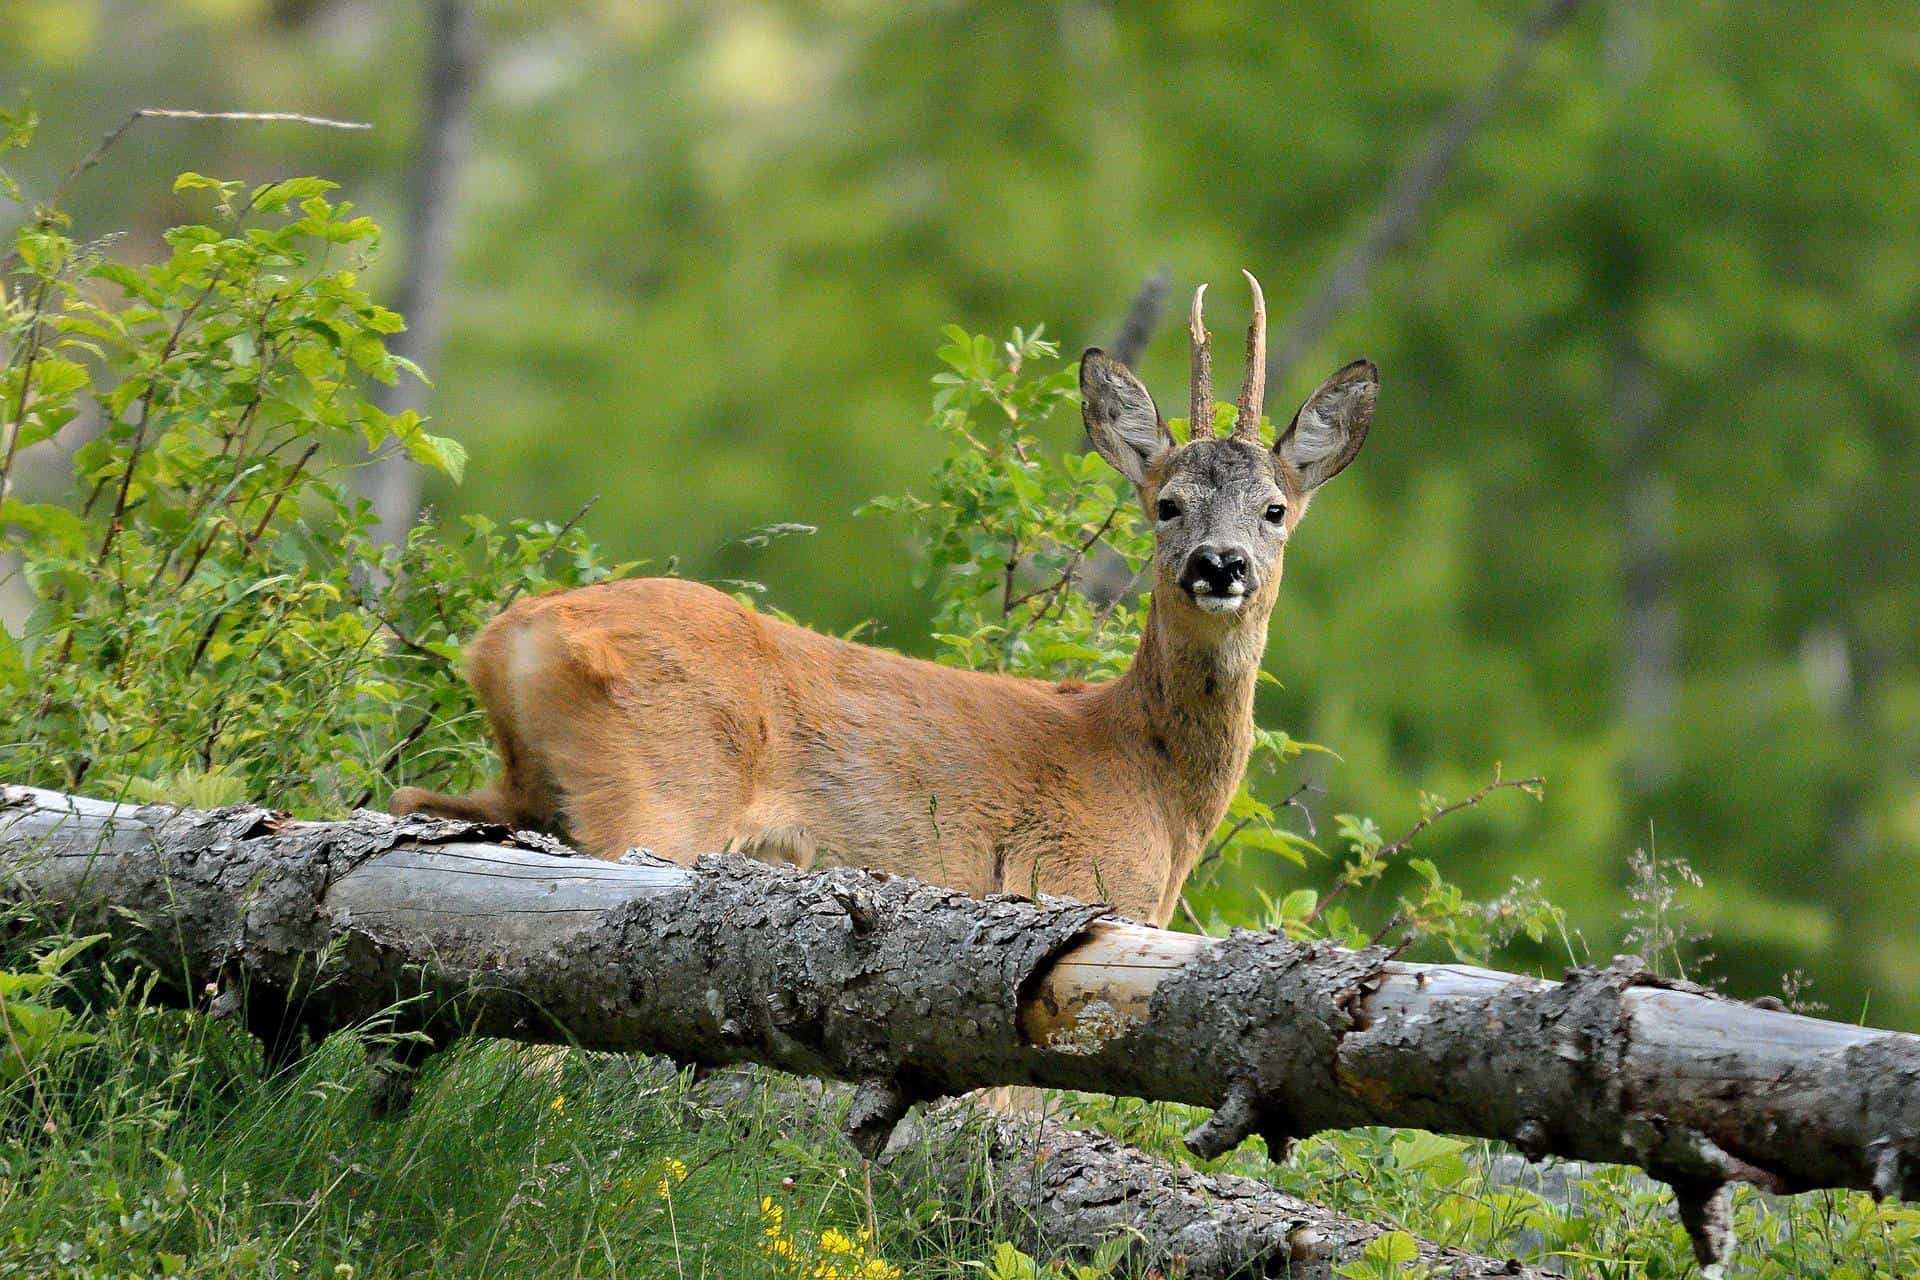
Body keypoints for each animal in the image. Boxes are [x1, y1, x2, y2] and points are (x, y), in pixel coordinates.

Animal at [393, 276, 1382, 924]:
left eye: (1275, 510)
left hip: (523, 788)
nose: (1219, 565)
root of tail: (510, 637)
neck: (1152, 779)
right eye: (1167, 504)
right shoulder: (1065, 888)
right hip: (655, 795)